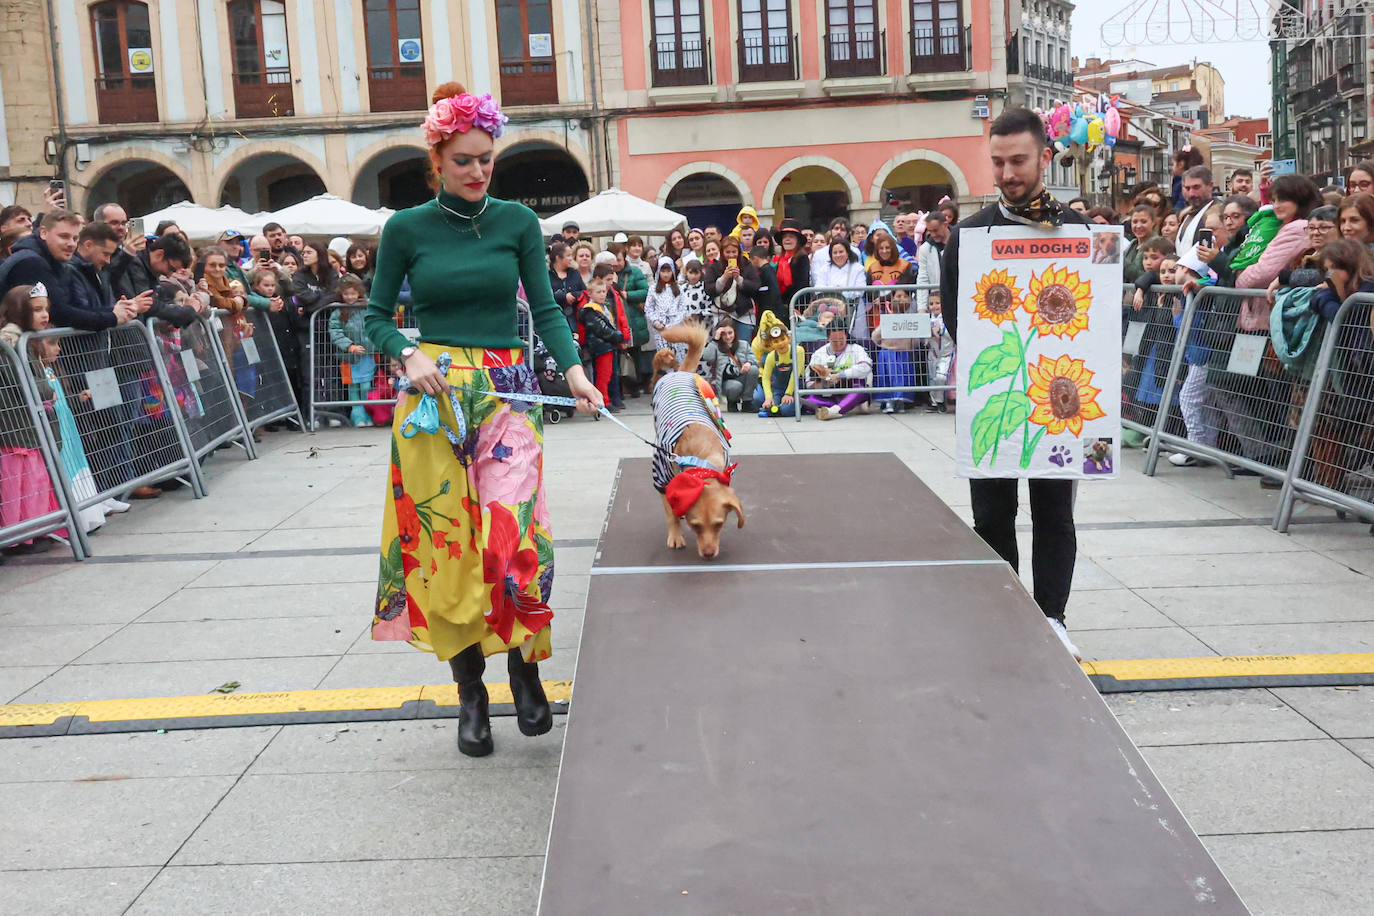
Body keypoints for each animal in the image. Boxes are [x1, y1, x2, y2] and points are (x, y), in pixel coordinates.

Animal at [651, 325, 747, 563]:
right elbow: (671, 514)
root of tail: (680, 372)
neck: (701, 461)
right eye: (695, 527)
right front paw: (675, 535)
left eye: (719, 525)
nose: (709, 553)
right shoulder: (661, 477)